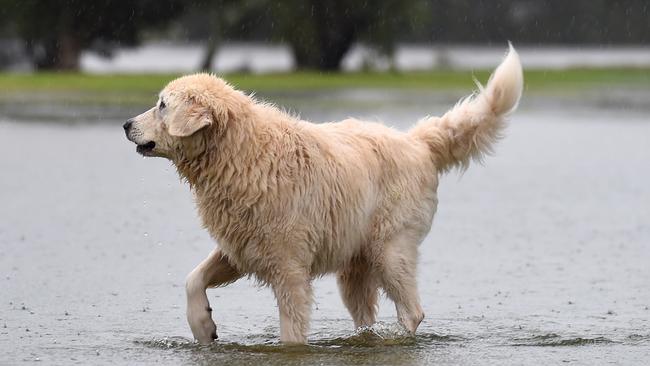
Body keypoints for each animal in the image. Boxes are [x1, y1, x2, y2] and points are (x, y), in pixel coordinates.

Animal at [124, 44, 524, 344]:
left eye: (162, 105)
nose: (126, 124)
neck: (239, 152)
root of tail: (416, 141)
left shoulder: (289, 268)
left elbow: (292, 331)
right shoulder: (241, 246)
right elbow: (194, 278)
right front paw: (204, 327)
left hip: (391, 249)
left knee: (412, 310)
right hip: (355, 263)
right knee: (365, 314)